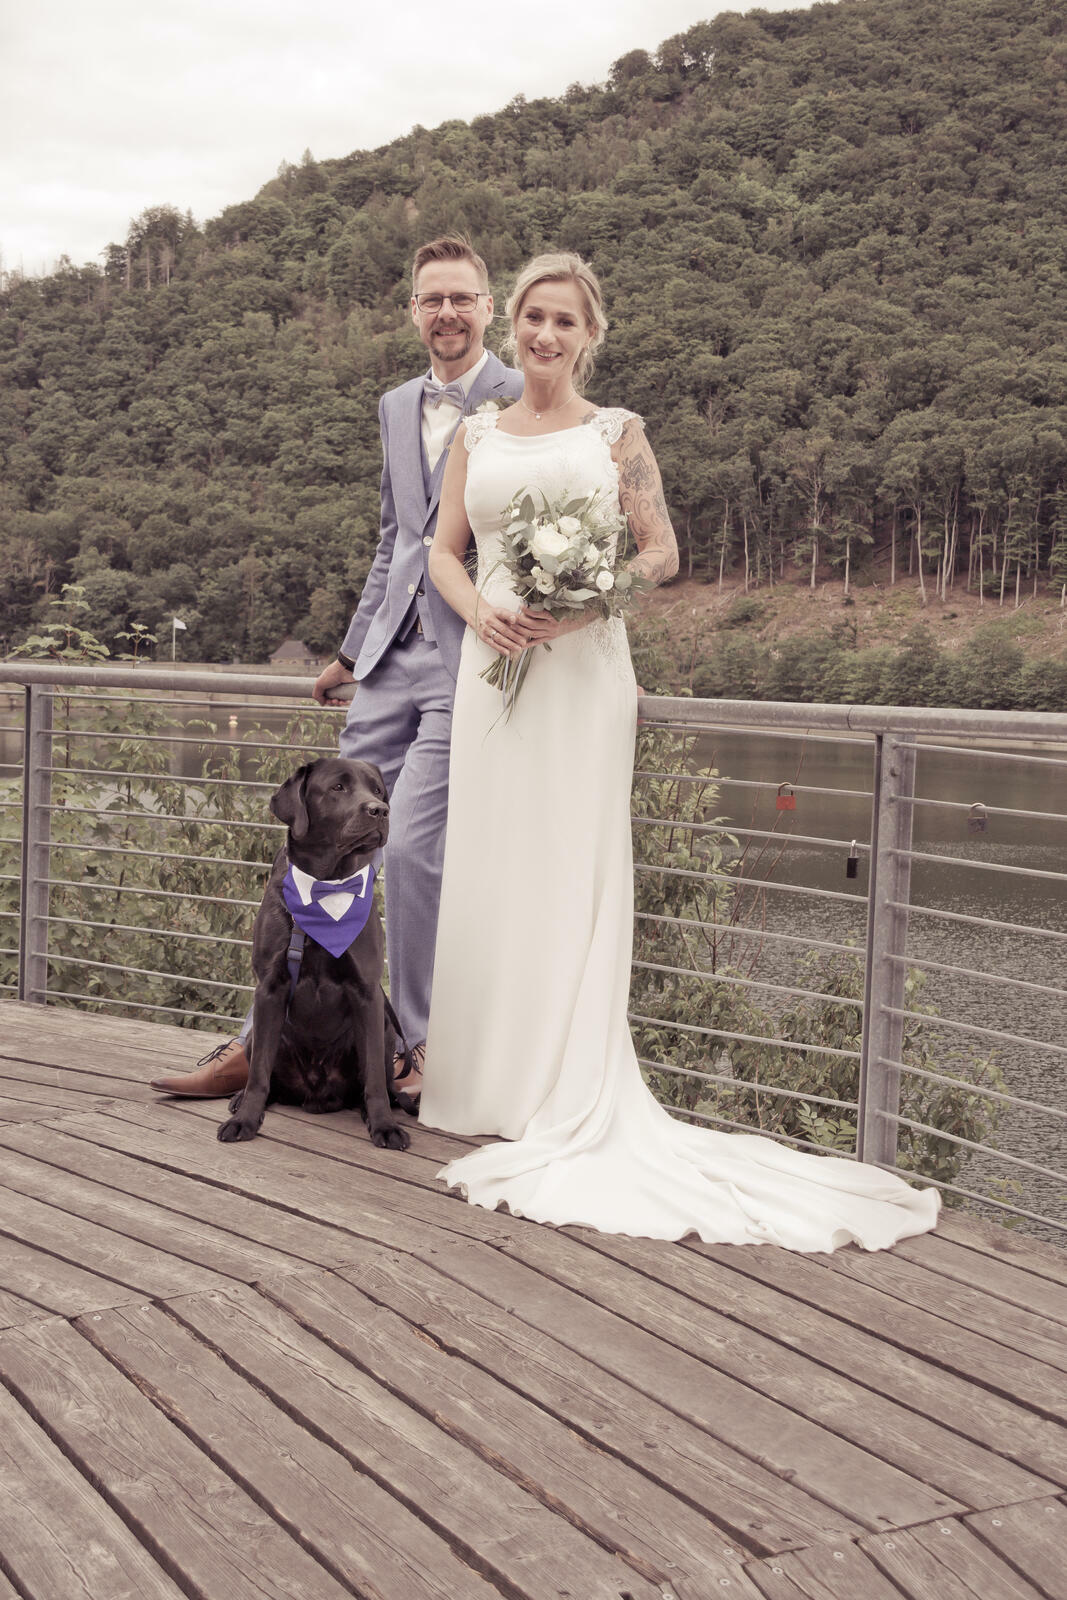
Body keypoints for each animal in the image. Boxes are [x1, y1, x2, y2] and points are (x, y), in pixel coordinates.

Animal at [217, 757, 414, 1148]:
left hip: (385, 1030)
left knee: (378, 1082)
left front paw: (384, 1125)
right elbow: (258, 1073)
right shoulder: (269, 987)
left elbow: (373, 1079)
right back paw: (240, 1100)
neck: (327, 888)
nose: (380, 810)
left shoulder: (367, 991)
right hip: (255, 1035)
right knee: (265, 1075)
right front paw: (245, 1120)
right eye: (338, 787)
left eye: (378, 790)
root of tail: (316, 1095)